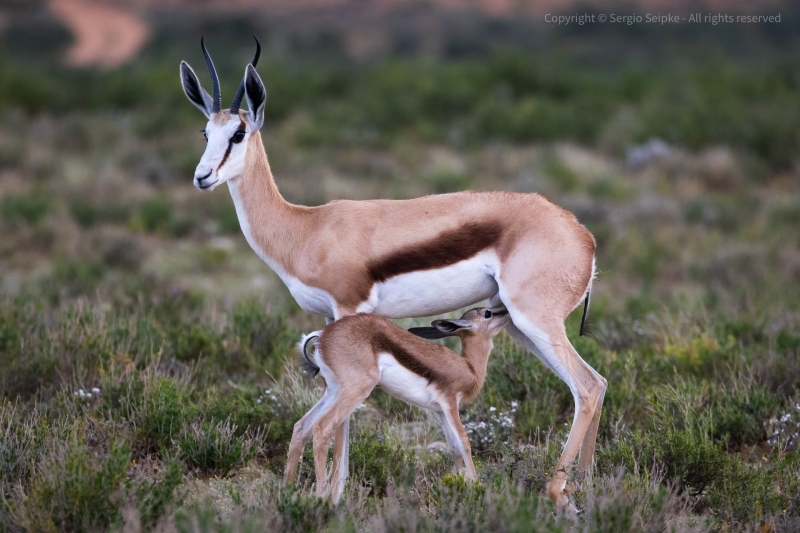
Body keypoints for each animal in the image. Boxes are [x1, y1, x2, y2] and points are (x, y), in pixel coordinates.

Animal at [288, 306, 512, 500]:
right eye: (487, 313)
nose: (507, 311)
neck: (469, 367)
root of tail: (323, 335)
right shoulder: (450, 403)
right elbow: (465, 442)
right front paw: (478, 486)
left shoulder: (439, 411)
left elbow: (454, 447)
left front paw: (455, 482)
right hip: (356, 391)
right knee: (321, 427)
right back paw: (323, 495)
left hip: (334, 392)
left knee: (301, 426)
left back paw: (288, 490)